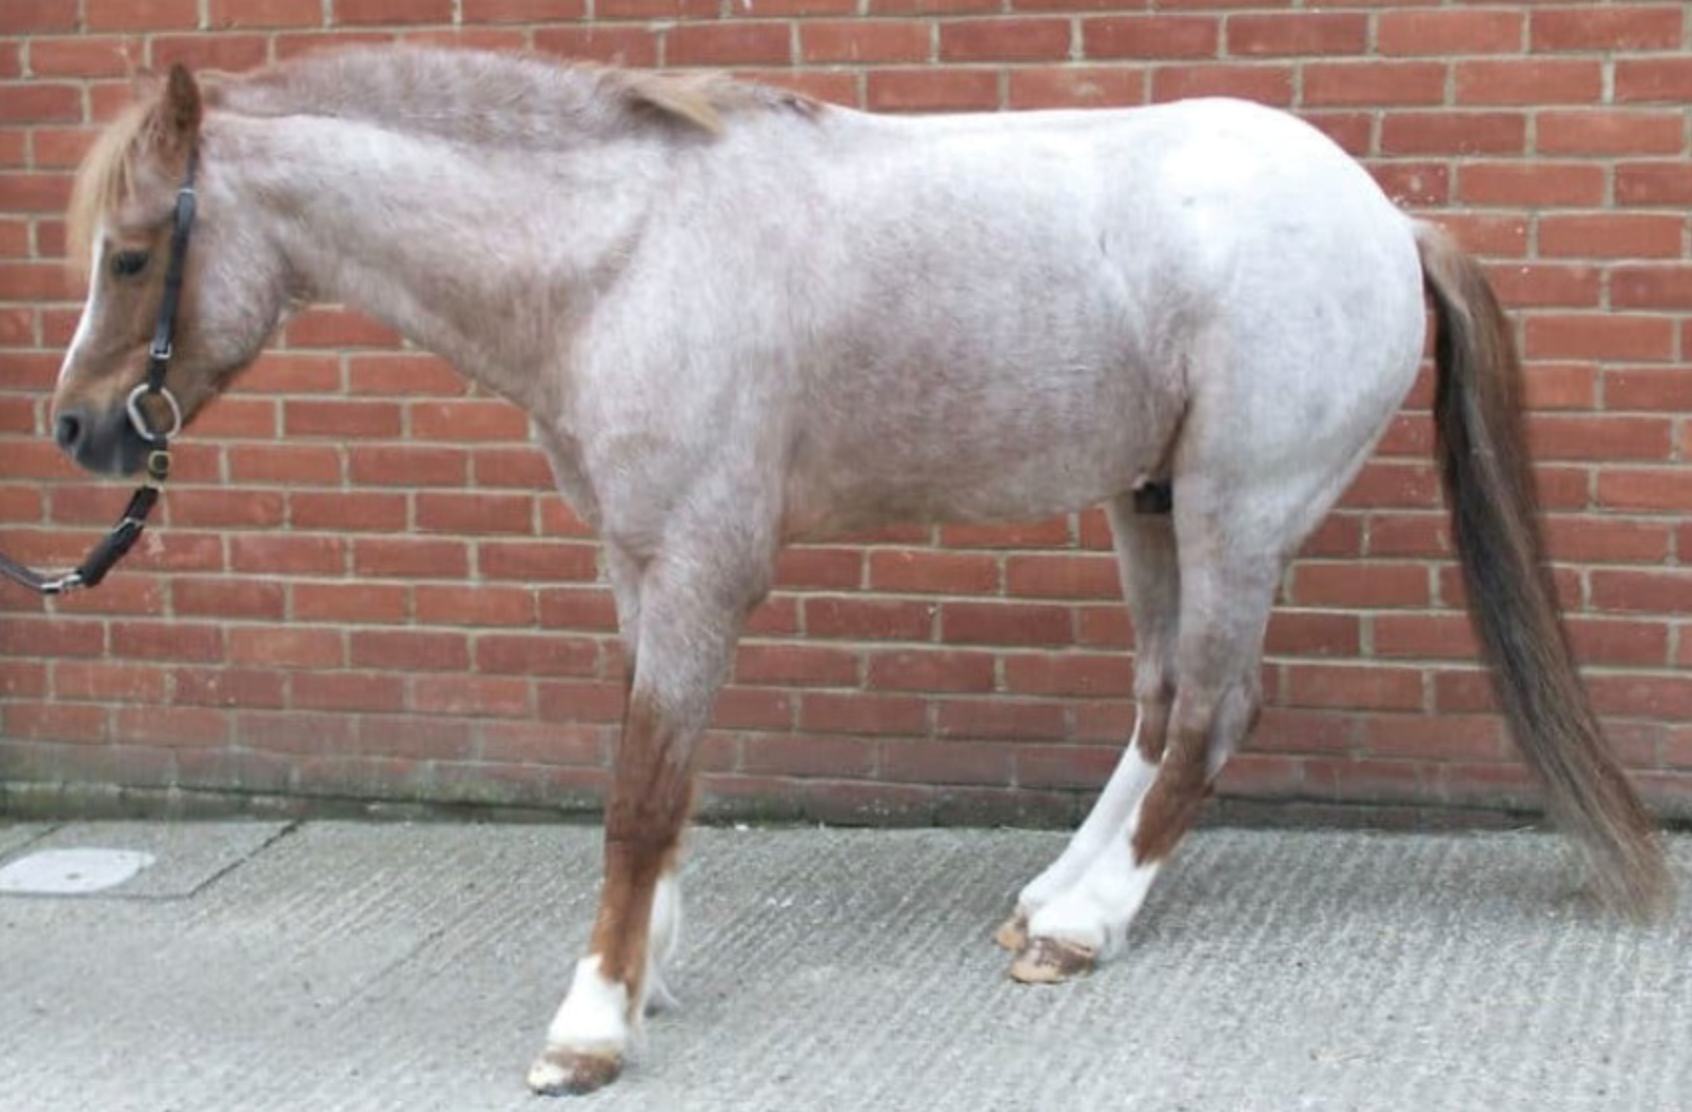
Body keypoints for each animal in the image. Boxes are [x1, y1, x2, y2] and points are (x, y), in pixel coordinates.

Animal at [48, 47, 1665, 1095]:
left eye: (130, 255)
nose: (76, 428)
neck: (627, 256)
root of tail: (1386, 218)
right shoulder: (640, 566)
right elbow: (663, 776)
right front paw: (651, 965)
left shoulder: (700, 570)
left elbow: (639, 793)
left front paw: (594, 1022)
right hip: (1146, 501)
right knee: (1159, 708)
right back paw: (1055, 895)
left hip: (1233, 511)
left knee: (1213, 711)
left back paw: (1084, 930)